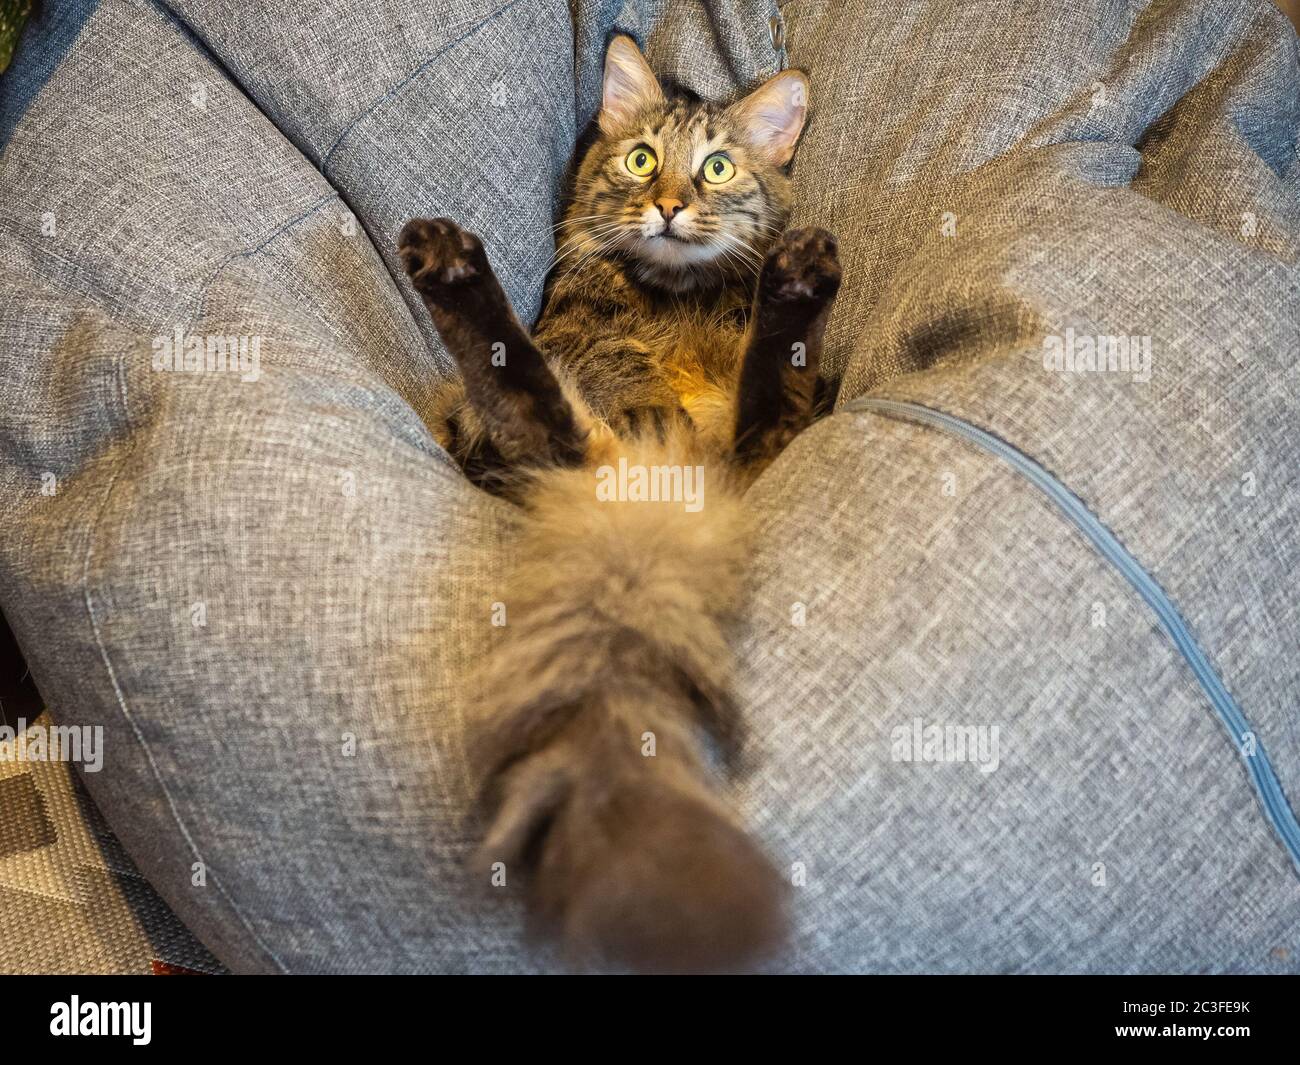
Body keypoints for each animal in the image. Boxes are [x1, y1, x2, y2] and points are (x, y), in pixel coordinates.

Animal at [397, 35, 842, 972]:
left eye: (716, 168)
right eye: (641, 160)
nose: (668, 207)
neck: (677, 301)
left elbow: (774, 370)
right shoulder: (581, 334)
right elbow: (610, 362)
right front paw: (646, 397)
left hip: (738, 443)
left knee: (766, 390)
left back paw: (800, 277)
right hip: (528, 435)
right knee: (525, 386)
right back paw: (448, 259)